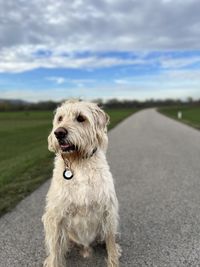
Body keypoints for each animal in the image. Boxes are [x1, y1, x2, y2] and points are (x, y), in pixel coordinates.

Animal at [42, 100, 120, 267]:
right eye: (60, 118)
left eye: (80, 118)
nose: (59, 133)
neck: (78, 162)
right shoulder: (55, 216)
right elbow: (55, 250)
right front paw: (53, 260)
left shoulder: (108, 211)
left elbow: (110, 241)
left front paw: (113, 260)